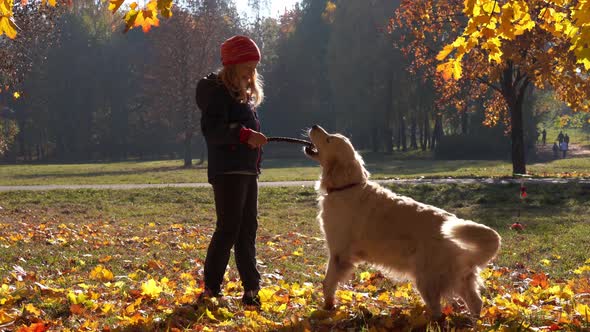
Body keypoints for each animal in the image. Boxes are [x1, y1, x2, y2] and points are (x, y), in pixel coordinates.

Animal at [306, 126, 504, 318]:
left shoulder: (339, 254)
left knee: (439, 313)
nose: (314, 125)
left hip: (427, 279)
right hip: (459, 280)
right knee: (476, 302)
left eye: (328, 139)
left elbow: (328, 283)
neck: (346, 187)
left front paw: (327, 309)